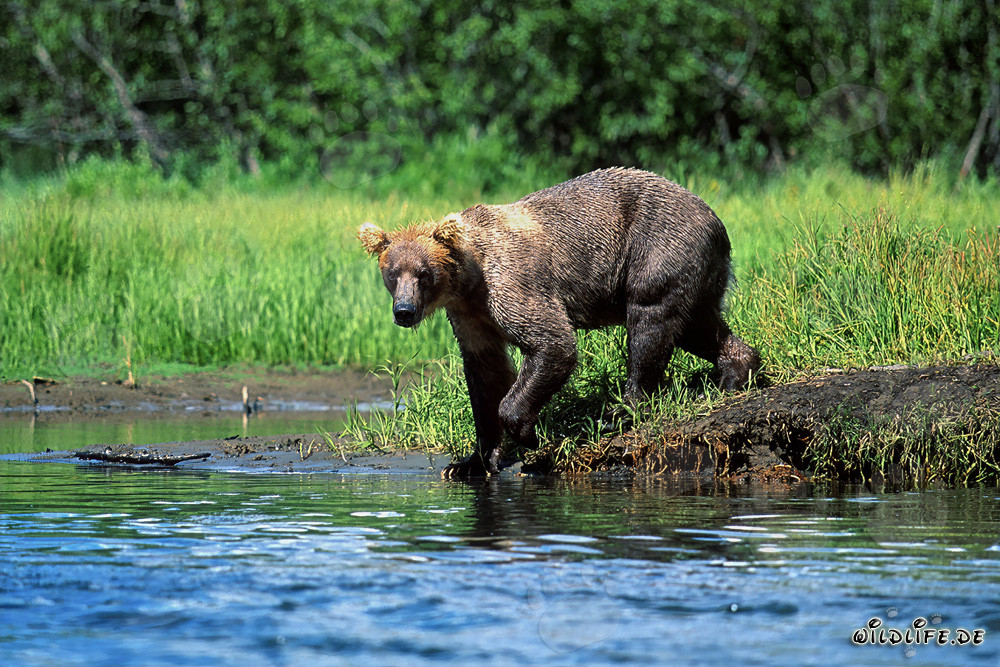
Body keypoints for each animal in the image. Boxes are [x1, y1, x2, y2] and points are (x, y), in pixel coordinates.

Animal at [358, 167, 761, 478]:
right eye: (392, 273)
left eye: (423, 273)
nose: (404, 311)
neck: (469, 280)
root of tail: (714, 217)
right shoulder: (470, 315)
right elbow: (486, 373)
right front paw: (470, 462)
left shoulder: (511, 285)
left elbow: (552, 342)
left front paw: (526, 432)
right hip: (692, 269)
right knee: (697, 325)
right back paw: (734, 374)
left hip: (657, 246)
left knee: (650, 322)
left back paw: (622, 409)